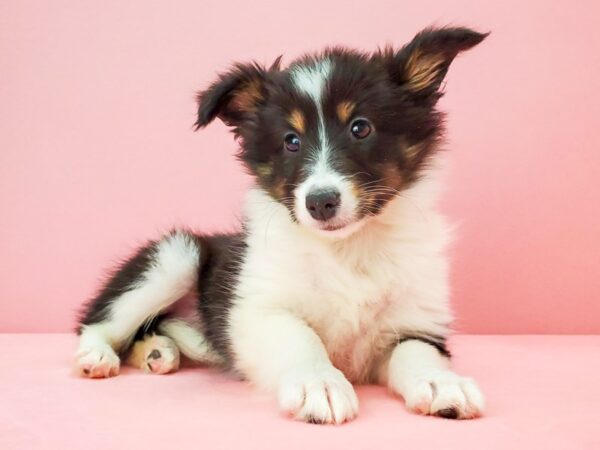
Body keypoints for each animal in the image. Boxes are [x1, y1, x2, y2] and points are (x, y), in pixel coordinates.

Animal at [75, 26, 488, 424]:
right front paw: (319, 384)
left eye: (360, 128)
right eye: (291, 140)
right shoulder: (258, 308)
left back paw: (157, 351)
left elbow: (416, 353)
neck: (346, 248)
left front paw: (440, 383)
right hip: (176, 256)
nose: (320, 202)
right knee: (97, 321)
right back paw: (98, 356)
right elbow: (301, 338)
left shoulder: (417, 319)